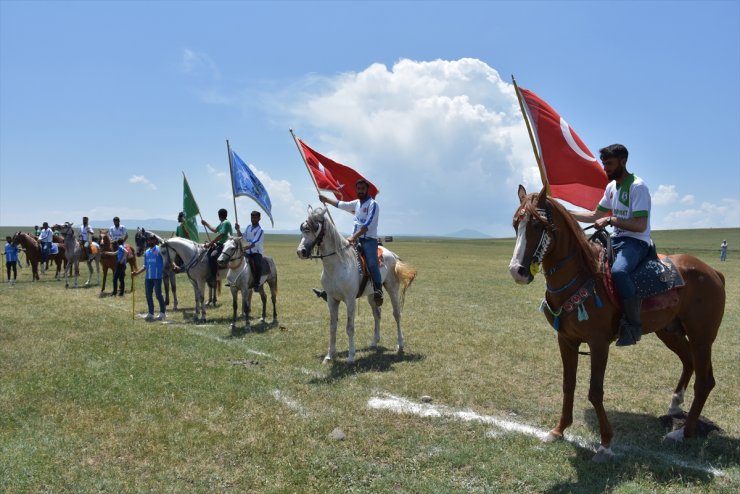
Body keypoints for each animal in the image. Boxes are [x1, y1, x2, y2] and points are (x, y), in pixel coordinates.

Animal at [296, 206, 416, 364]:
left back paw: (400, 345)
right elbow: (332, 327)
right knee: (377, 314)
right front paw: (329, 355)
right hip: (372, 294)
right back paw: (374, 342)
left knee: (396, 314)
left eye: (315, 227)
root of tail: (392, 255)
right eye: (302, 227)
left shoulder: (350, 300)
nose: (301, 251)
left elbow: (350, 327)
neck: (337, 265)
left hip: (392, 288)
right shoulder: (332, 299)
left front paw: (351, 356)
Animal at [506, 186, 724, 464]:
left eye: (537, 224)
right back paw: (675, 405)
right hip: (670, 331)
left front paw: (606, 444)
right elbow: (568, 385)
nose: (517, 271)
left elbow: (595, 392)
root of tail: (714, 272)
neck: (582, 276)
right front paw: (558, 430)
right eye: (516, 225)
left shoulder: (599, 343)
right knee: (689, 362)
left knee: (705, 381)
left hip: (702, 336)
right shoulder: (566, 340)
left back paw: (682, 433)